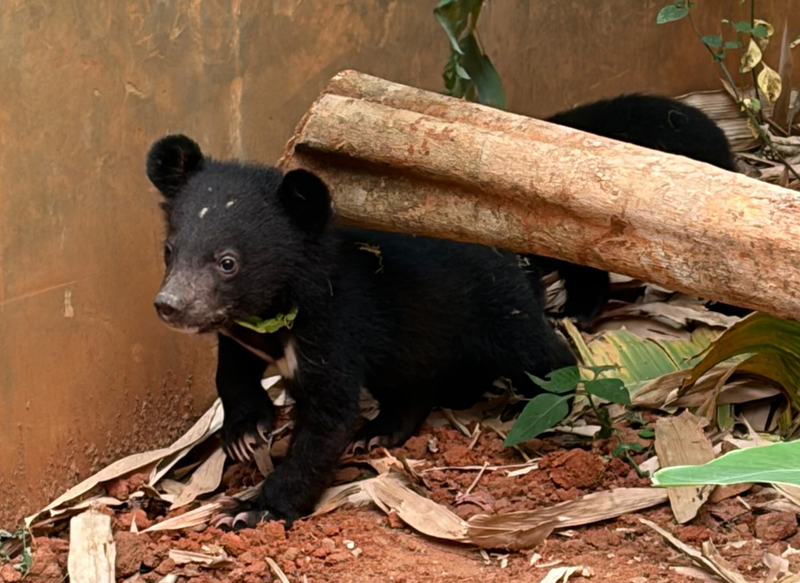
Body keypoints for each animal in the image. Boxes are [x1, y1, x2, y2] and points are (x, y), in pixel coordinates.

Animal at [146, 136, 576, 527]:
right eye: (170, 250)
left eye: (227, 262)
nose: (169, 306)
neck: (278, 308)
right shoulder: (242, 329)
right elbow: (233, 370)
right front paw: (246, 433)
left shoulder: (334, 326)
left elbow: (327, 421)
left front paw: (251, 510)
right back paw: (378, 432)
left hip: (496, 307)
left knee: (540, 356)